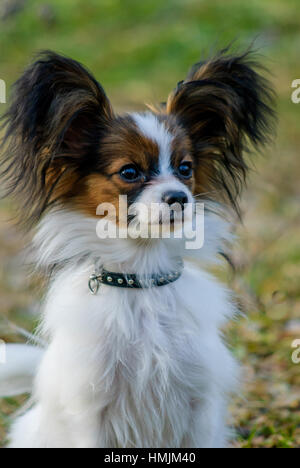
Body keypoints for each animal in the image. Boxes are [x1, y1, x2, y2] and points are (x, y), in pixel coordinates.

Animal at [0, 49, 274, 448]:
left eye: (185, 168)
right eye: (130, 172)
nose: (179, 198)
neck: (143, 281)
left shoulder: (200, 402)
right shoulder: (91, 412)